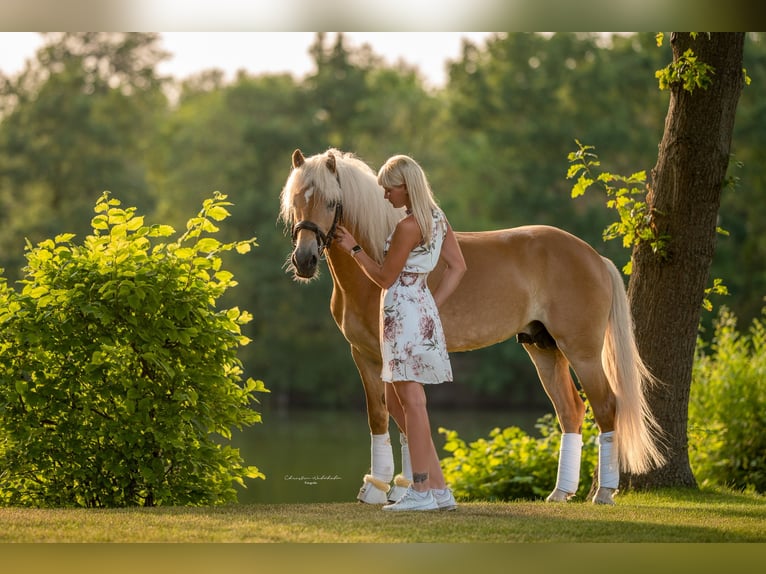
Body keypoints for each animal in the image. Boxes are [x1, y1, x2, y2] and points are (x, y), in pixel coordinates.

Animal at [278, 147, 664, 504]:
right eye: (295, 201)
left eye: (331, 202)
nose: (304, 260)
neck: (374, 263)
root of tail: (593, 256)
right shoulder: (364, 355)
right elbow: (380, 417)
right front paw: (378, 489)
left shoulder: (390, 358)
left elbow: (401, 418)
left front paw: (401, 489)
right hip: (544, 349)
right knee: (571, 411)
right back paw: (560, 492)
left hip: (582, 352)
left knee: (606, 408)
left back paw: (603, 493)